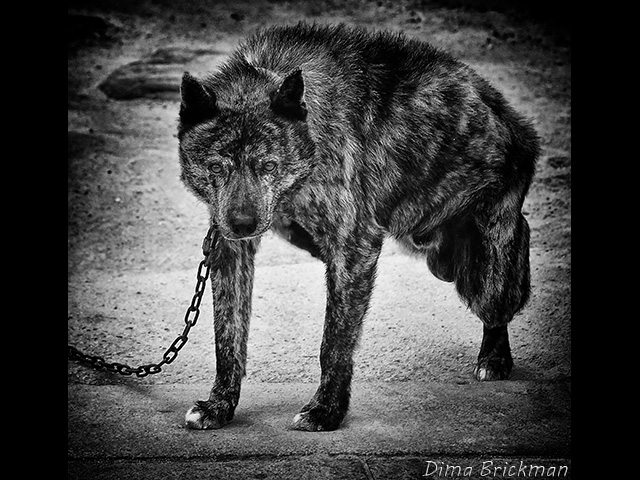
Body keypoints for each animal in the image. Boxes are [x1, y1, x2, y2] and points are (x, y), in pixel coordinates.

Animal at [178, 21, 536, 432]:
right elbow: (228, 335)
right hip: (439, 259)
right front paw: (220, 404)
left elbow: (334, 341)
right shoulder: (231, 251)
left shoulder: (353, 248)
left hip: (485, 278)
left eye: (268, 165)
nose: (242, 224)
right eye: (216, 167)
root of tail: (514, 122)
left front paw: (326, 410)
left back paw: (494, 359)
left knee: (505, 292)